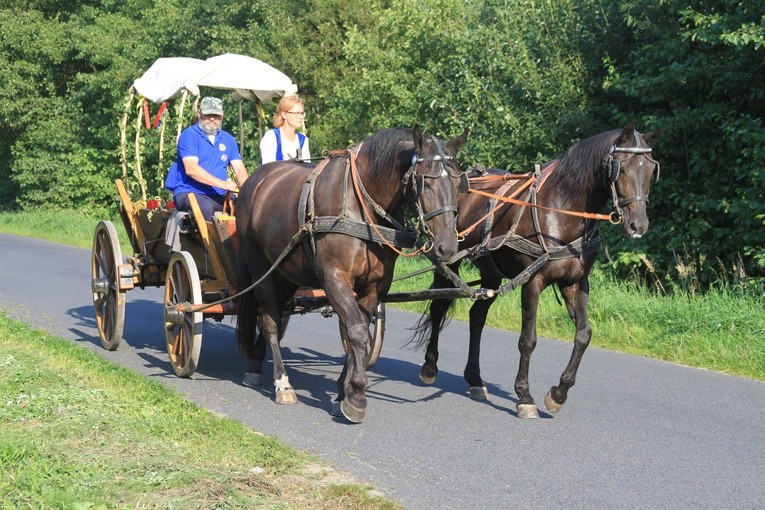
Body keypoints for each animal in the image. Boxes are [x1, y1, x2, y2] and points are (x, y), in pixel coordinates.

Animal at [236, 126, 468, 422]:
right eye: (425, 182)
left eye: (458, 185)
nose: (447, 247)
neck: (362, 208)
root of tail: (254, 182)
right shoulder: (334, 277)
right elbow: (356, 330)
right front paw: (356, 395)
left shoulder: (375, 286)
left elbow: (356, 330)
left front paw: (342, 393)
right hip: (261, 271)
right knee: (269, 322)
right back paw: (281, 382)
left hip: (286, 275)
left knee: (277, 313)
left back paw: (256, 363)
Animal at [414, 124, 660, 418]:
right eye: (620, 167)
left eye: (650, 169)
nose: (639, 225)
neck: (560, 209)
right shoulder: (533, 281)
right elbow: (528, 339)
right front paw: (524, 396)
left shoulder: (576, 283)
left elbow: (584, 335)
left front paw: (558, 394)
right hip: (448, 259)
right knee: (439, 308)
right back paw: (430, 367)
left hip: (491, 272)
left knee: (477, 316)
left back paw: (475, 379)